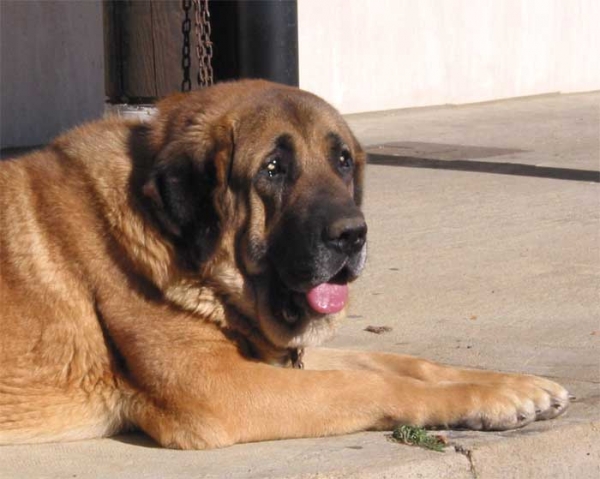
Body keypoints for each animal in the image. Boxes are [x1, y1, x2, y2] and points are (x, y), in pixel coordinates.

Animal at [0, 79, 568, 450]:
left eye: (342, 161)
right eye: (273, 169)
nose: (353, 234)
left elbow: (401, 362)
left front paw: (510, 385)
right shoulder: (220, 386)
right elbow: (370, 384)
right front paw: (490, 397)